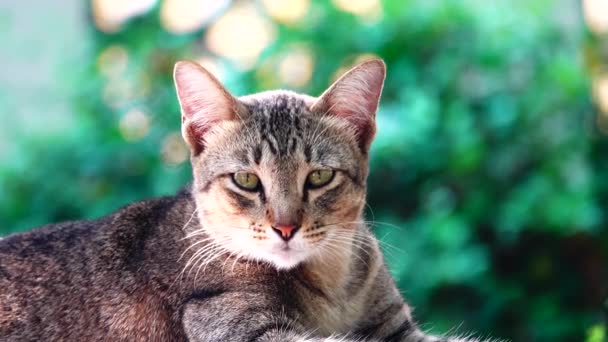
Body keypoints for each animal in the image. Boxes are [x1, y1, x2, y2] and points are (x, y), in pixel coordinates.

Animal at [0, 60, 490, 340]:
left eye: (320, 176)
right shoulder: (236, 325)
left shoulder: (395, 328)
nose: (286, 227)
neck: (331, 285)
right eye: (246, 180)